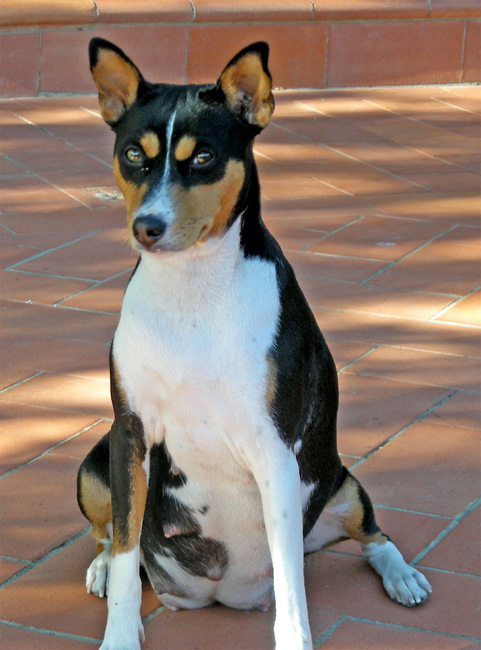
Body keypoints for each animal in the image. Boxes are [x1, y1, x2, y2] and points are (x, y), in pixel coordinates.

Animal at [78, 39, 432, 648]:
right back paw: (100, 566)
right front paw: (119, 634)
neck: (193, 295)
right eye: (132, 155)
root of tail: (215, 592)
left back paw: (402, 575)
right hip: (94, 465)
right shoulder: (130, 436)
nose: (147, 225)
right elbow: (125, 553)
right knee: (112, 538)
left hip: (341, 482)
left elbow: (291, 584)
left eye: (202, 158)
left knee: (372, 535)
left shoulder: (274, 452)